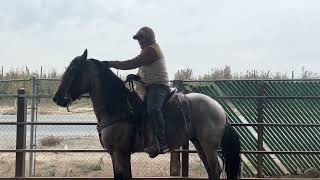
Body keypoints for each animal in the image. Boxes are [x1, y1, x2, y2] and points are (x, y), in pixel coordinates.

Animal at [53, 49, 241, 180]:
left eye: (73, 70)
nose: (57, 98)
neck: (119, 108)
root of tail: (219, 108)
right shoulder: (114, 155)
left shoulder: (122, 154)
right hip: (199, 143)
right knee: (211, 170)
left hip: (209, 146)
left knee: (215, 169)